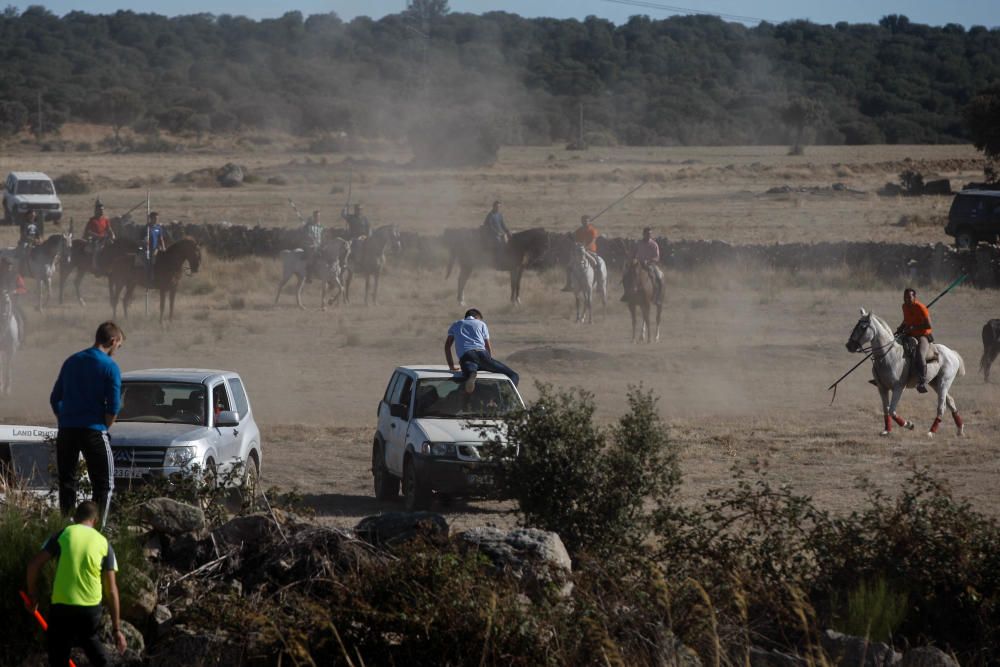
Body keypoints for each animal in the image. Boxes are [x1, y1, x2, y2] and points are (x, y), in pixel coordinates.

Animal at [848, 310, 964, 438]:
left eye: (863, 327)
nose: (849, 345)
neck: (888, 355)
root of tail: (951, 353)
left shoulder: (898, 388)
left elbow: (892, 411)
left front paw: (909, 425)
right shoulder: (882, 388)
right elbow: (886, 409)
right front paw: (886, 430)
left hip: (944, 382)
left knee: (941, 407)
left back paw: (931, 432)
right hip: (935, 383)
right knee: (950, 402)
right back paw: (960, 429)